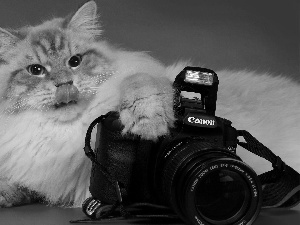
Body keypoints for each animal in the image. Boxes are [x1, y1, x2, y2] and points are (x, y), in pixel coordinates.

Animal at [0, 0, 298, 207]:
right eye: (36, 70)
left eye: (75, 61)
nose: (64, 84)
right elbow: (18, 186)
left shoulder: (141, 80)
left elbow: (141, 87)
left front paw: (148, 125)